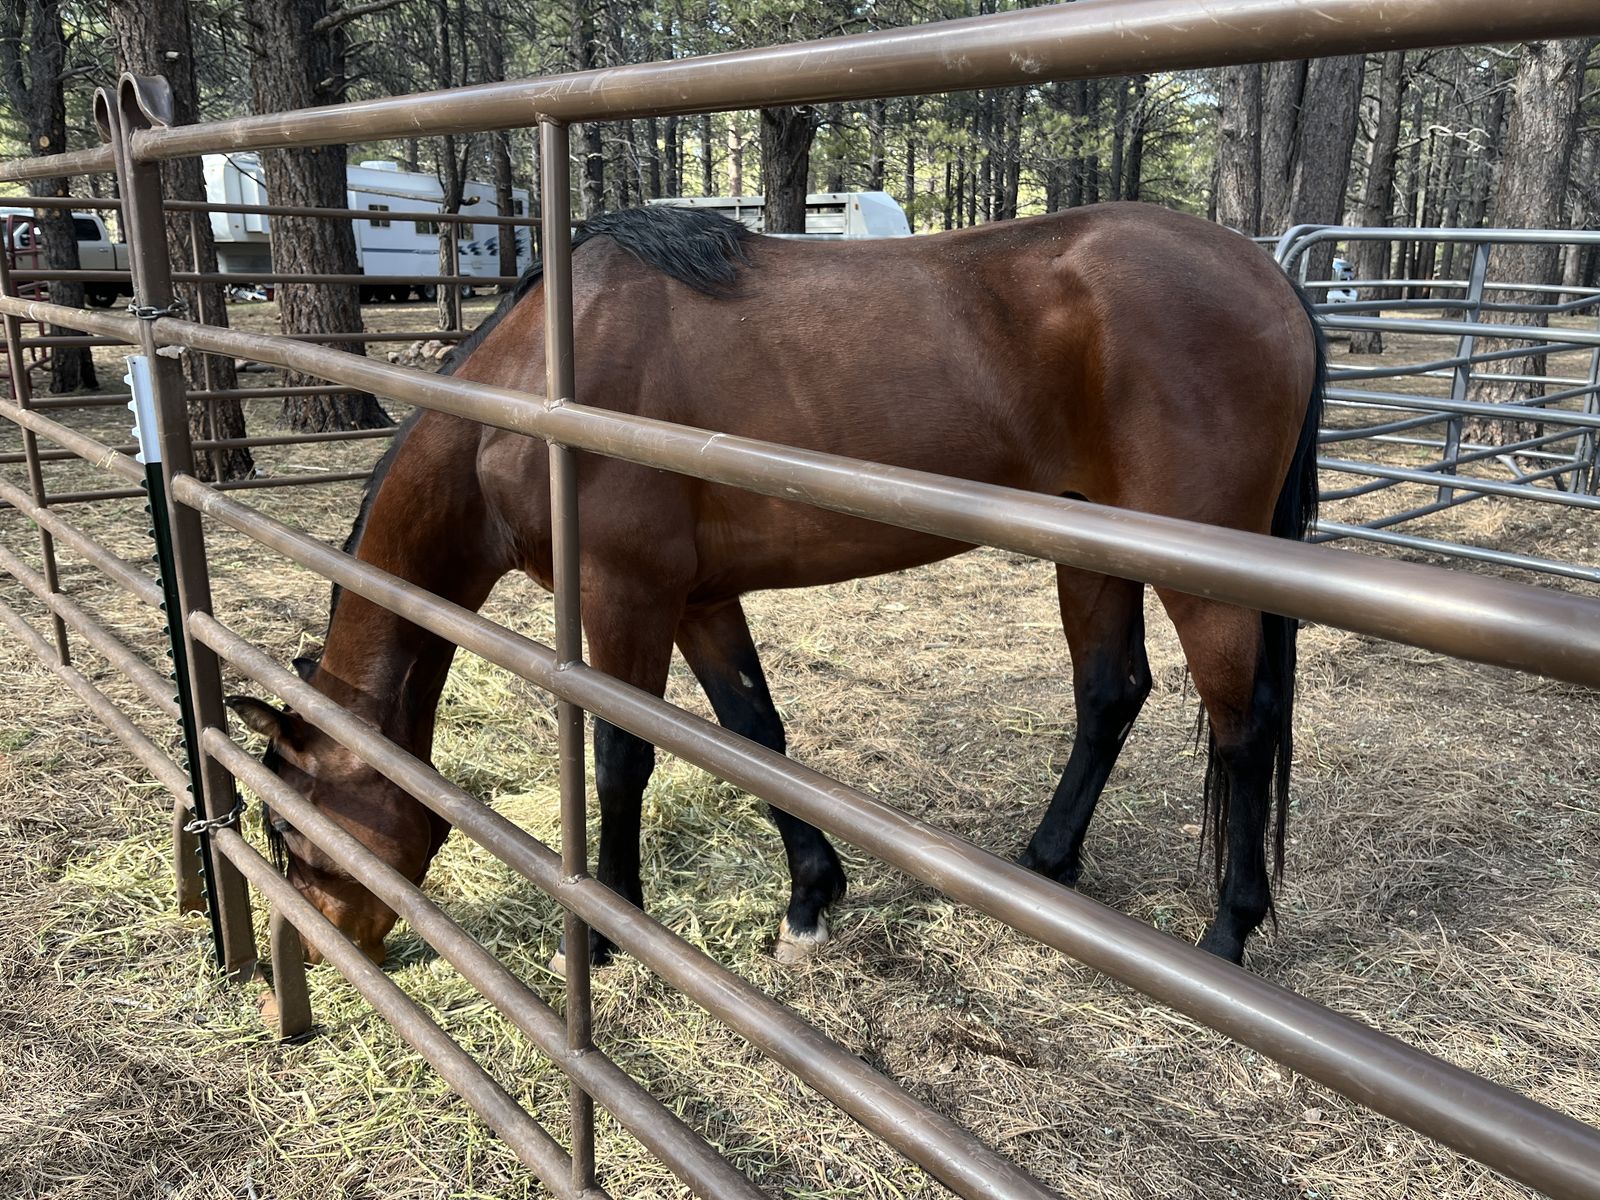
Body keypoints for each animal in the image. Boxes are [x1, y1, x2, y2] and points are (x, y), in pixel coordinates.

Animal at [226, 201, 1324, 969]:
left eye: (286, 826)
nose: (320, 951)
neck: (530, 393)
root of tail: (1266, 274)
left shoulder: (622, 596)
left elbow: (623, 756)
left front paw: (608, 929)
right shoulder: (698, 600)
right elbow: (756, 737)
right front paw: (811, 898)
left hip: (1199, 571)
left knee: (1242, 726)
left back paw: (1228, 933)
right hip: (1093, 550)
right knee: (1110, 693)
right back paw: (1046, 865)